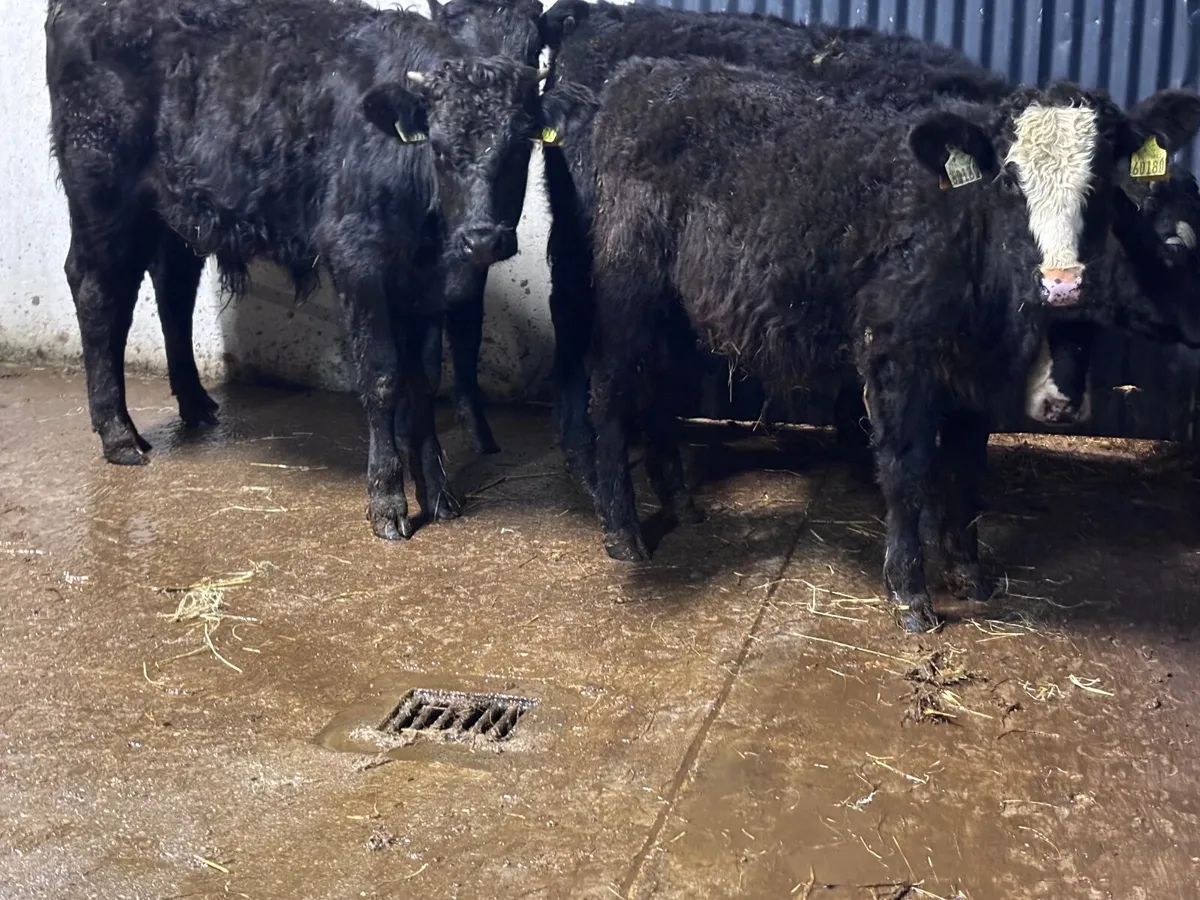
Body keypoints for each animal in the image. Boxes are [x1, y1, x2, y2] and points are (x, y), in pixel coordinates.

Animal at [46, 0, 545, 542]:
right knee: (97, 292)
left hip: (174, 207)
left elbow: (425, 383)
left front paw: (437, 491)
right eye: (438, 147)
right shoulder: (357, 259)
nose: (483, 238)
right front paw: (387, 501)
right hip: (101, 192)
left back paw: (196, 405)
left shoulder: (430, 285)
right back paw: (119, 434)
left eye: (520, 145)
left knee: (172, 288)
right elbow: (383, 378)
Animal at [540, 55, 1200, 631]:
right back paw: (622, 531)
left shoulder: (974, 369)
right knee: (611, 391)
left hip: (675, 306)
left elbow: (968, 467)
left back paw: (679, 502)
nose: (1061, 284)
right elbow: (908, 465)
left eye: (1105, 179)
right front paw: (911, 594)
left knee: (657, 392)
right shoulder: (895, 349)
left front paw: (969, 573)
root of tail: (639, 76)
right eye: (1010, 179)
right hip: (628, 284)